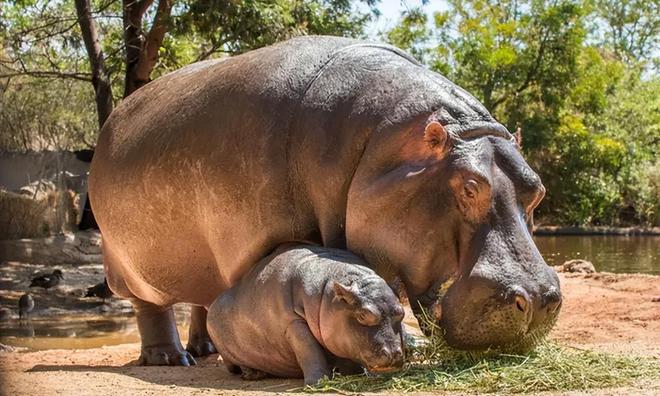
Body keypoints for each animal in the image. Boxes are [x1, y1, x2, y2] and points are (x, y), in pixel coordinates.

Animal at [89, 35, 564, 364]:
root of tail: (111, 123)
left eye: (537, 190)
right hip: (128, 265)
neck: (382, 146)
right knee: (152, 307)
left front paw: (404, 341)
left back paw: (206, 350)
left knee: (202, 298)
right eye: (469, 186)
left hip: (197, 263)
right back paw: (171, 358)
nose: (540, 299)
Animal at [206, 244, 404, 384]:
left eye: (401, 313)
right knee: (236, 365)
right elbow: (309, 350)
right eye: (363, 315)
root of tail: (214, 301)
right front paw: (317, 383)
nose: (394, 353)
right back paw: (253, 374)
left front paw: (357, 373)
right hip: (227, 351)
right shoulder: (293, 323)